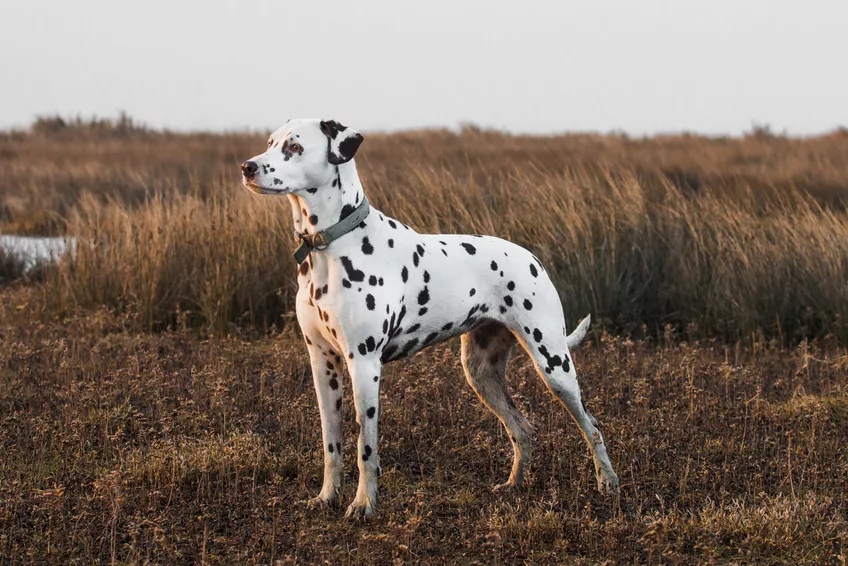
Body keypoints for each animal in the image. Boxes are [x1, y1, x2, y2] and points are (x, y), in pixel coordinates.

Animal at [242, 120, 620, 520]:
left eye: (295, 147)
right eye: (270, 142)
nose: (247, 167)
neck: (330, 245)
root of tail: (533, 259)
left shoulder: (364, 364)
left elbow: (365, 449)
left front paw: (363, 504)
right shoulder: (322, 364)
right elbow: (332, 444)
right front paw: (327, 497)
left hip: (554, 365)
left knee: (592, 426)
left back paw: (608, 484)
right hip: (480, 373)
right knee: (522, 428)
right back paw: (514, 485)